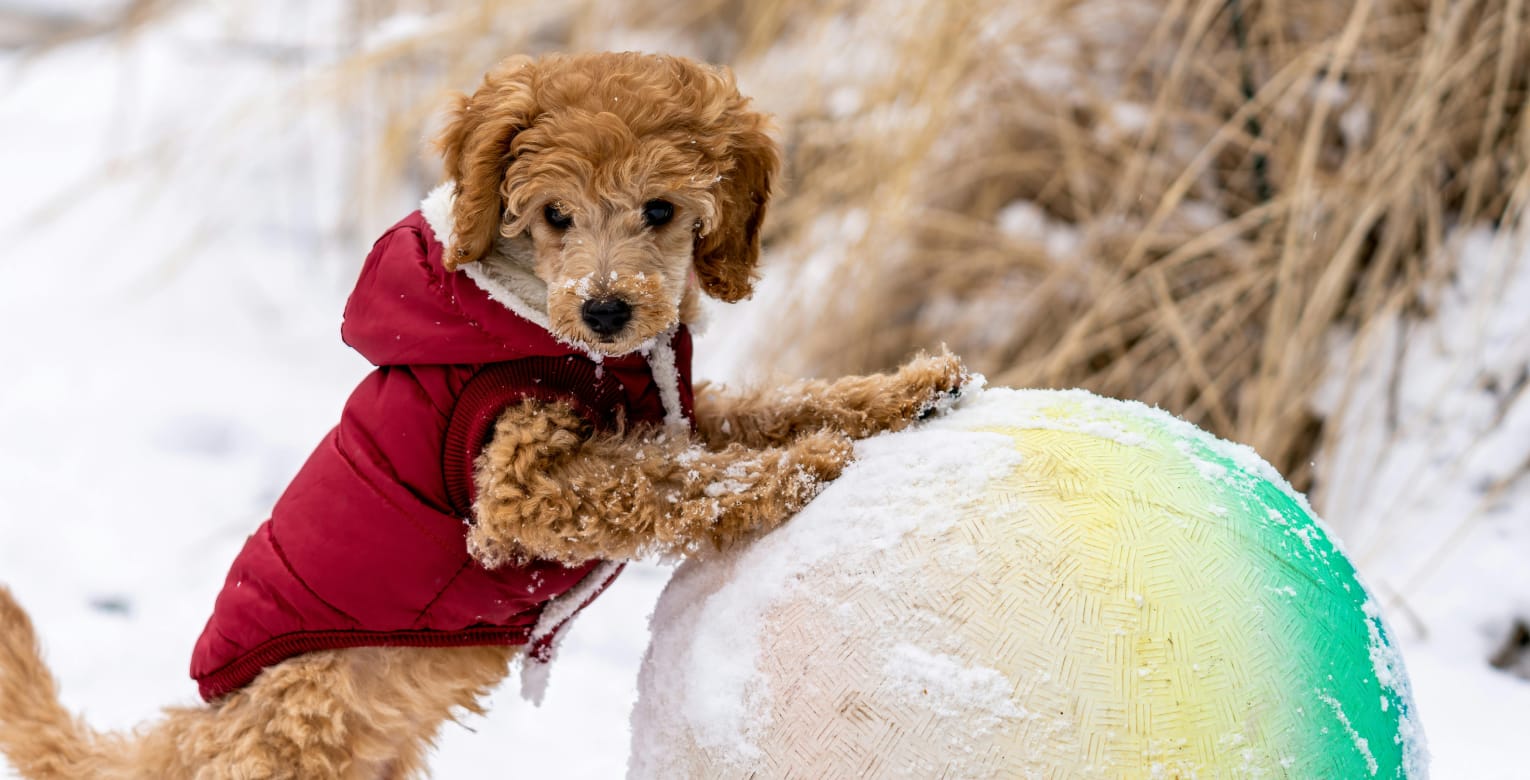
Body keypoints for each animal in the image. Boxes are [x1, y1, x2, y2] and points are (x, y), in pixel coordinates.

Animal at [0, 51, 966, 776]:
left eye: (660, 210)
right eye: (555, 214)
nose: (606, 310)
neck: (548, 326)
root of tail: (185, 738)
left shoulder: (668, 415)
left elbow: (757, 412)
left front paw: (908, 390)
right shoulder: (515, 488)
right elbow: (665, 485)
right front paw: (803, 465)